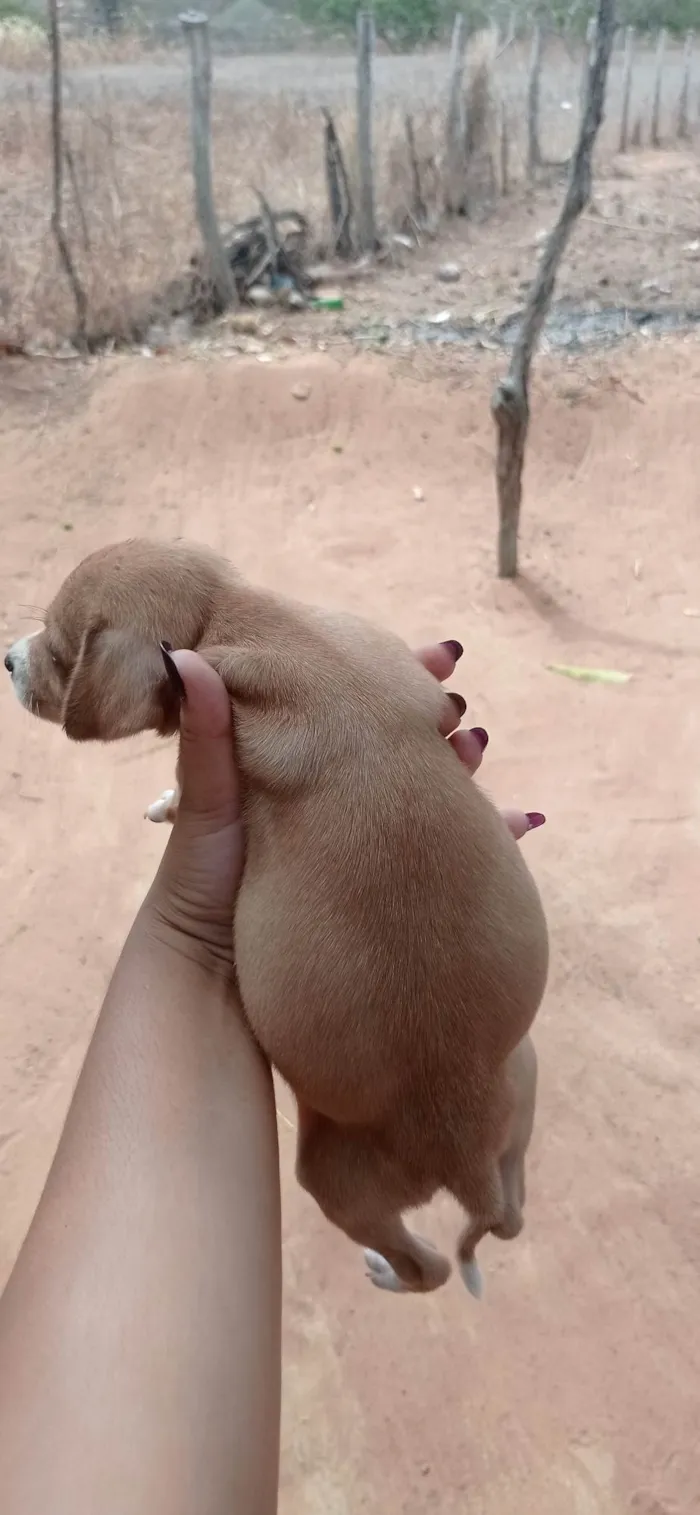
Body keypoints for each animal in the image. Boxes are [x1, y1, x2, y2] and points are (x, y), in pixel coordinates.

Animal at [5, 539, 548, 1296]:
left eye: (59, 650)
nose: (7, 659)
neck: (228, 612)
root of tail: (464, 1162)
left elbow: (183, 790)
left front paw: (164, 804)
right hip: (522, 1076)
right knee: (511, 1217)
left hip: (333, 1179)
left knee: (432, 1266)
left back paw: (386, 1271)